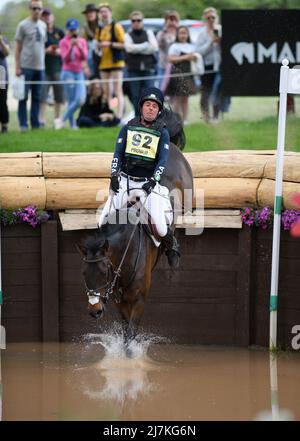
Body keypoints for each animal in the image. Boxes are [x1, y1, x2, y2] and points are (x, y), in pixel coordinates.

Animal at [76, 109, 193, 348]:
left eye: (104, 271)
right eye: (84, 273)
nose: (95, 311)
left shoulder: (139, 300)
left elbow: (130, 339)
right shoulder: (119, 299)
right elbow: (124, 335)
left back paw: (174, 251)